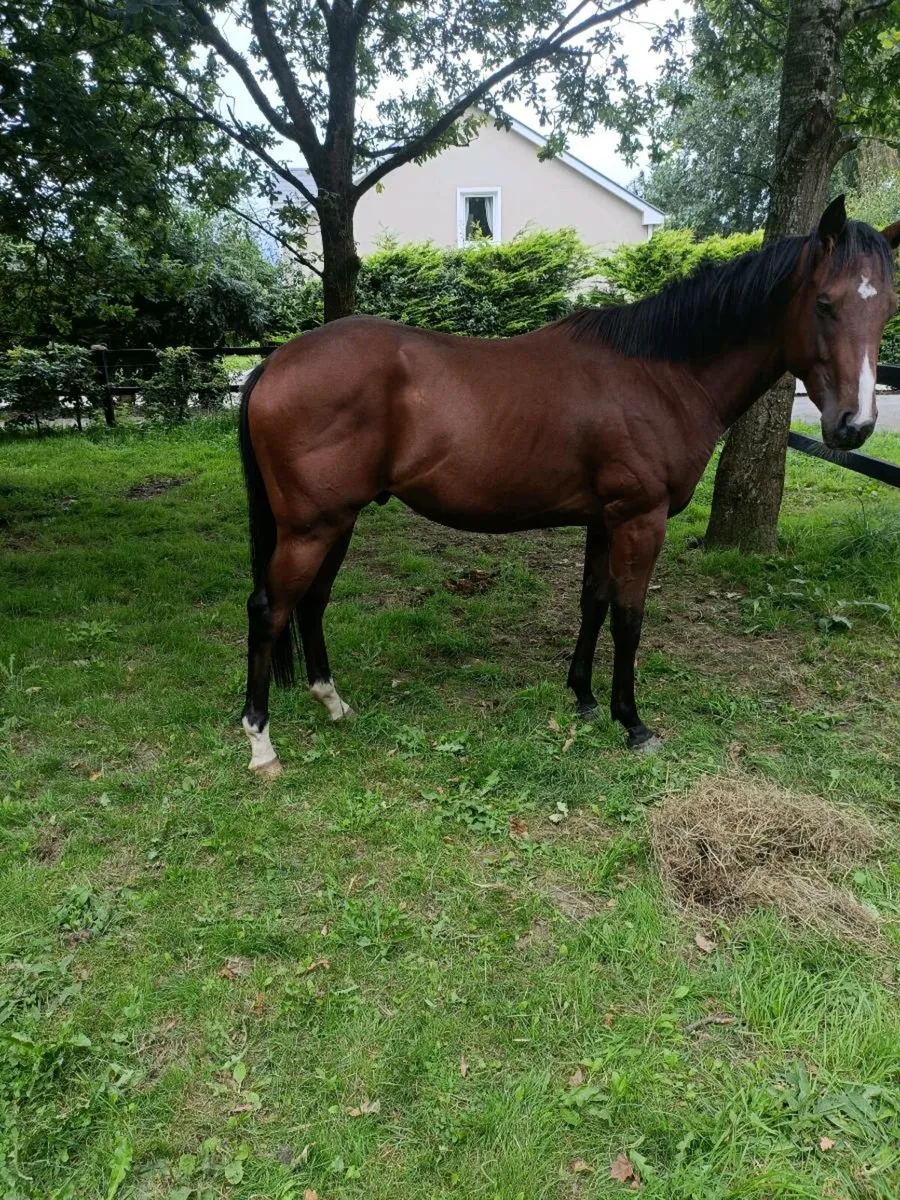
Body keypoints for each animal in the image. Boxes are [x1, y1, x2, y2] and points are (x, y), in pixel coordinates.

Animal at [237, 196, 899, 777]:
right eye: (826, 303)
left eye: (888, 308)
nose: (855, 425)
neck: (661, 375)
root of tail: (273, 362)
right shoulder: (640, 518)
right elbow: (629, 616)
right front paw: (632, 721)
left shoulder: (605, 519)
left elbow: (594, 602)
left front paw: (582, 696)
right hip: (311, 527)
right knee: (270, 609)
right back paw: (261, 743)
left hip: (338, 520)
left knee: (313, 603)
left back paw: (333, 704)